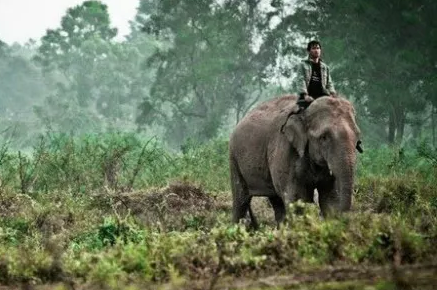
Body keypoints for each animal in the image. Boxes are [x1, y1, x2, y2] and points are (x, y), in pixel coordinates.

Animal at [228, 95, 362, 229]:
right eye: (324, 137)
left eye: (357, 137)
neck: (305, 111)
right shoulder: (285, 150)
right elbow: (297, 200)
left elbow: (330, 199)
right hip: (234, 158)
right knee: (241, 199)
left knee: (276, 201)